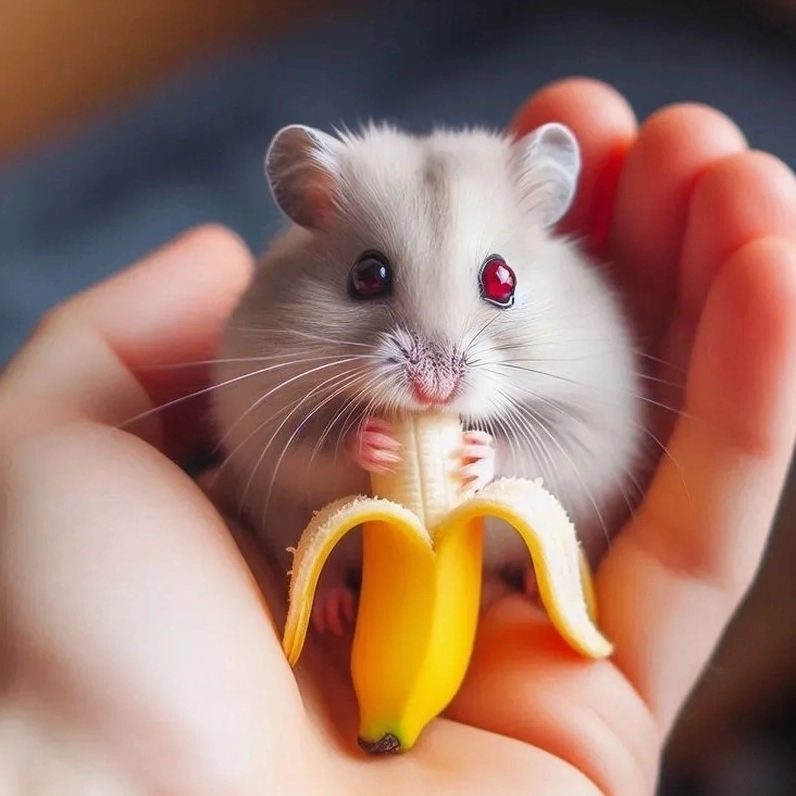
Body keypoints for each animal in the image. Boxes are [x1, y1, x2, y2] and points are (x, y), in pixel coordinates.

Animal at [209, 120, 644, 635]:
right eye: (368, 274)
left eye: (503, 279)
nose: (434, 391)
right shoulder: (266, 423)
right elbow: (319, 448)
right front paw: (377, 442)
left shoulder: (588, 427)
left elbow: (533, 454)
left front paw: (475, 453)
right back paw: (333, 614)